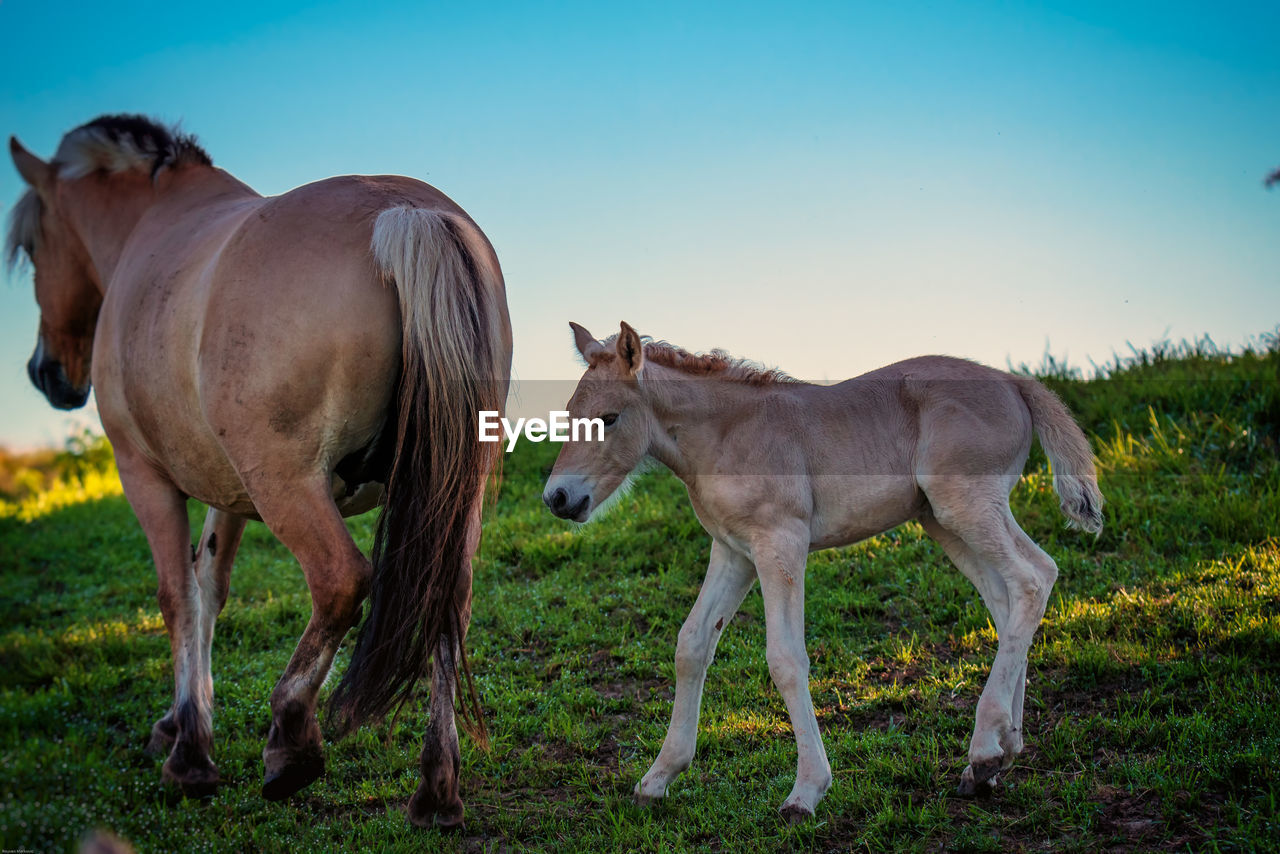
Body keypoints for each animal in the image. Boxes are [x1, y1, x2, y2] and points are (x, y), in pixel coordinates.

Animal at [8, 115, 514, 829]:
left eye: (32, 245)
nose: (45, 373)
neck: (154, 227)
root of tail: (405, 213)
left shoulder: (145, 475)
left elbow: (175, 595)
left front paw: (190, 754)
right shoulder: (227, 488)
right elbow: (208, 585)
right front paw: (181, 721)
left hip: (288, 485)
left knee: (340, 580)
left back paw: (291, 738)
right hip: (447, 498)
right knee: (449, 598)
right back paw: (436, 790)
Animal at [540, 320, 1100, 819]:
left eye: (609, 418)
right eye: (569, 415)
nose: (557, 498)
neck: (726, 433)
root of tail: (1015, 381)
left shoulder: (781, 543)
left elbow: (786, 659)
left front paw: (806, 791)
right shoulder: (733, 551)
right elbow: (691, 645)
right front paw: (658, 778)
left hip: (967, 504)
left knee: (1034, 577)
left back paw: (985, 750)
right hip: (942, 520)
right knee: (1006, 601)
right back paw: (1000, 753)